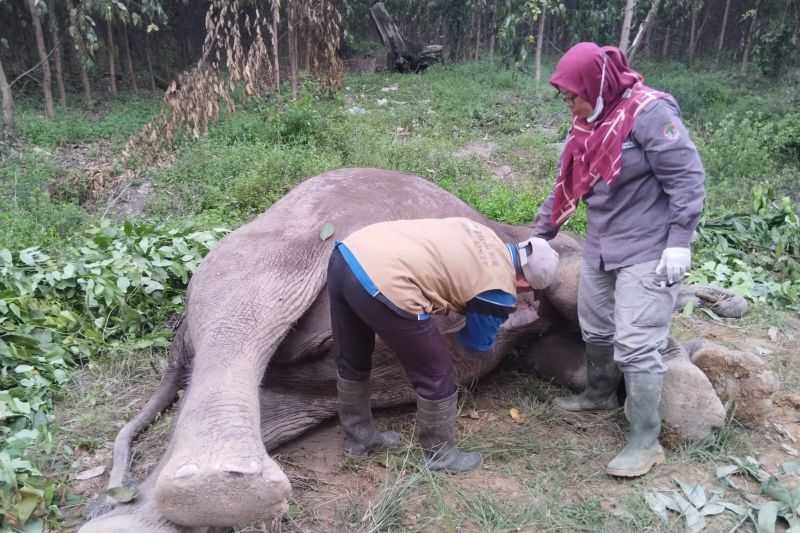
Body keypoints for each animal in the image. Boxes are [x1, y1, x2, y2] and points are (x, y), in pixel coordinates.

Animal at [78, 167, 736, 532]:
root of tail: (177, 335)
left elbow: (566, 349)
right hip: (273, 250)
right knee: (245, 305)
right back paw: (224, 488)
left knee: (293, 397)